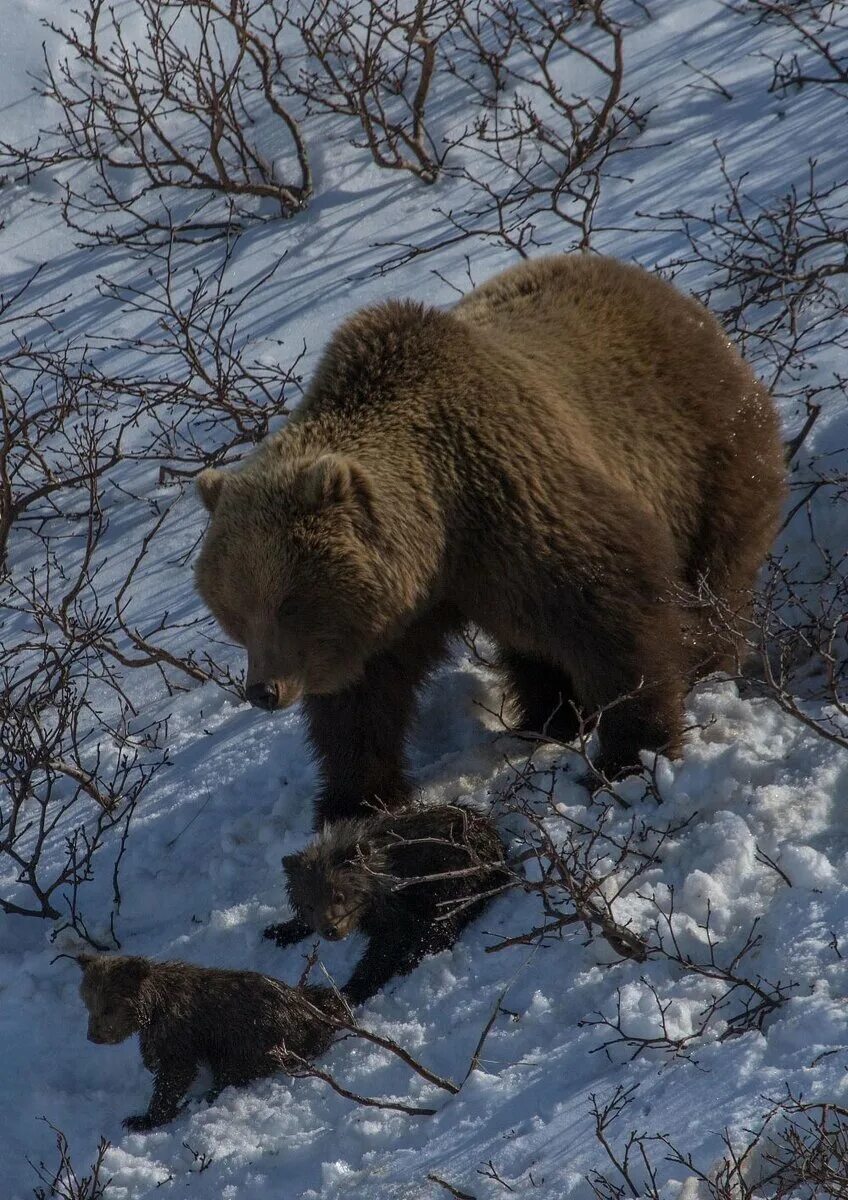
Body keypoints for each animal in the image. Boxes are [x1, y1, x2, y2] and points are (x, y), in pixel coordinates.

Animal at [195, 255, 786, 825]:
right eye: (236, 614)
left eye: (288, 603)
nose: (263, 690)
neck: (438, 532)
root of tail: (671, 296)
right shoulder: (393, 611)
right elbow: (362, 702)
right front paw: (352, 801)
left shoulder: (511, 497)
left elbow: (614, 611)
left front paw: (631, 757)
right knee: (528, 643)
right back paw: (549, 716)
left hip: (707, 453)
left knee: (715, 575)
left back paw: (704, 665)